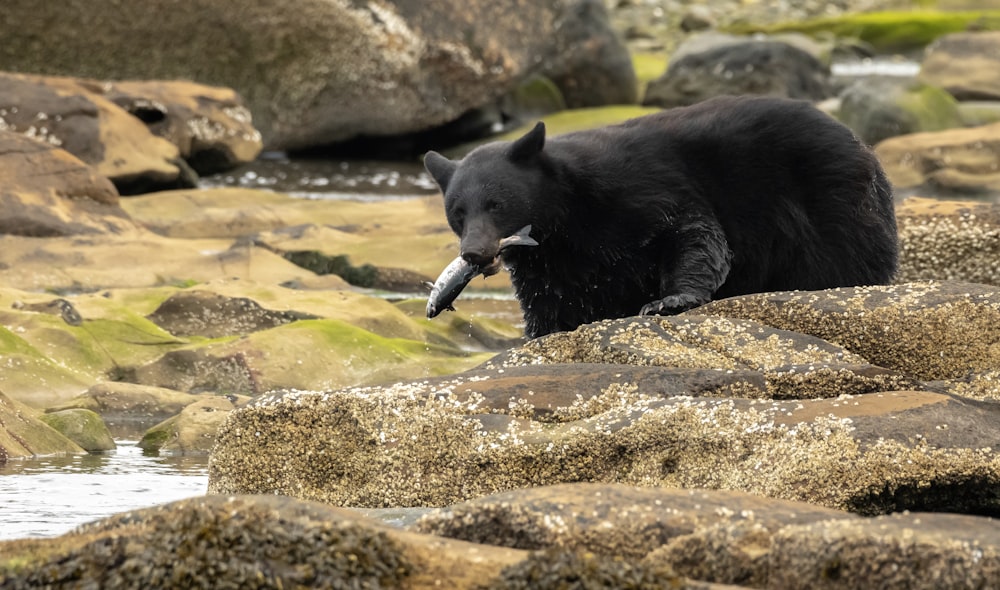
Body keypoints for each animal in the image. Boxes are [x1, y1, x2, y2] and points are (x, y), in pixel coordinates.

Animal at [422, 96, 900, 338]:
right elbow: (554, 304)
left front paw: (667, 300)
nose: (474, 253)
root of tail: (863, 147)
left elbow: (693, 233)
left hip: (832, 203)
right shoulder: (553, 263)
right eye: (457, 213)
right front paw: (543, 334)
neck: (568, 215)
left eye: (497, 204)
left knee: (842, 260)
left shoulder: (643, 188)